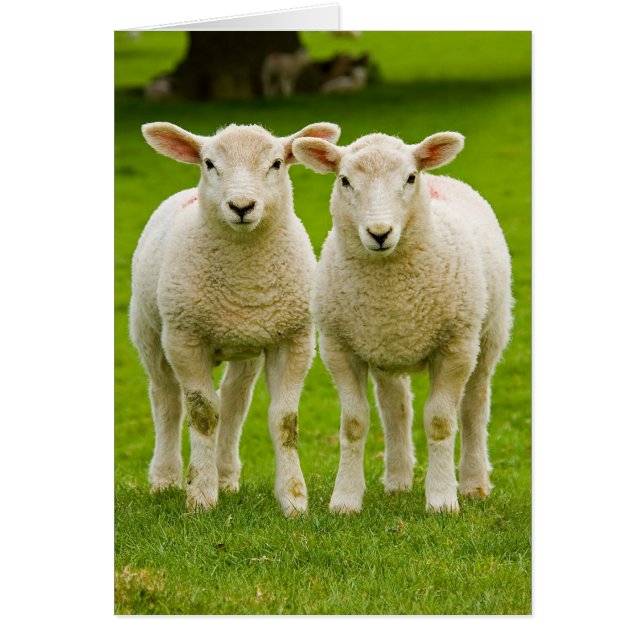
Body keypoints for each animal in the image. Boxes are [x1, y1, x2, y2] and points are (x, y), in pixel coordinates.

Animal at [130, 120, 341, 516]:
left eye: (276, 163)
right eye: (210, 163)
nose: (241, 206)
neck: (245, 277)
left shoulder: (294, 339)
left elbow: (284, 421)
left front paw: (293, 499)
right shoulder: (185, 339)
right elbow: (202, 415)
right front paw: (200, 496)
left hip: (247, 344)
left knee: (233, 401)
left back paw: (226, 476)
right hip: (149, 331)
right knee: (166, 399)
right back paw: (165, 479)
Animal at [292, 131, 513, 514]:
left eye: (410, 177)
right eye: (344, 180)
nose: (379, 233)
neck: (391, 292)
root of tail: (443, 177)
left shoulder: (455, 347)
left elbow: (440, 422)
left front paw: (441, 499)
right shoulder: (339, 347)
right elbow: (354, 423)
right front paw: (345, 499)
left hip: (488, 335)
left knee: (474, 407)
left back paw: (473, 482)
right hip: (385, 348)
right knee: (395, 408)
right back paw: (397, 480)